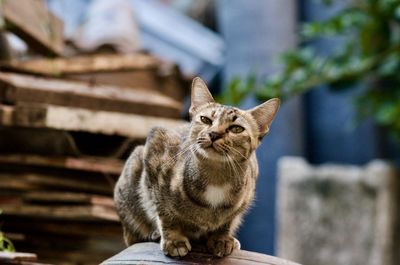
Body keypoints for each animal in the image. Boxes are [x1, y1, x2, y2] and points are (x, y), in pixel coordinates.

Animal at [114, 77, 280, 256]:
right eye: (205, 120)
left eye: (236, 129)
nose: (214, 134)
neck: (216, 176)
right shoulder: (156, 145)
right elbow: (164, 211)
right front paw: (174, 240)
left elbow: (228, 220)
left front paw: (221, 238)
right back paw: (154, 233)